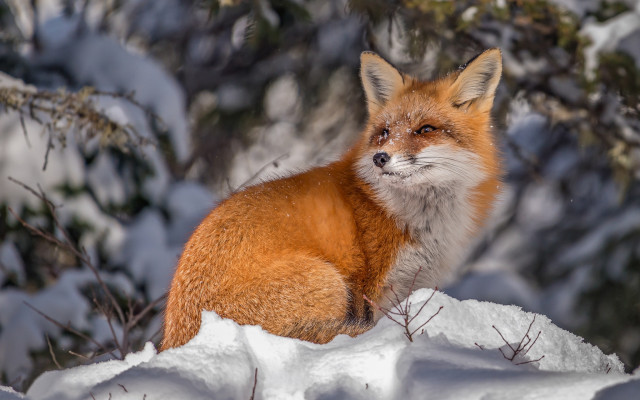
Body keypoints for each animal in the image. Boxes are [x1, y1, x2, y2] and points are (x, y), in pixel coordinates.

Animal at [161, 48, 503, 350]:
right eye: (384, 131)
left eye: (425, 129)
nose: (380, 158)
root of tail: (176, 339)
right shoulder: (373, 288)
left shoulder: (412, 285)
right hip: (330, 281)